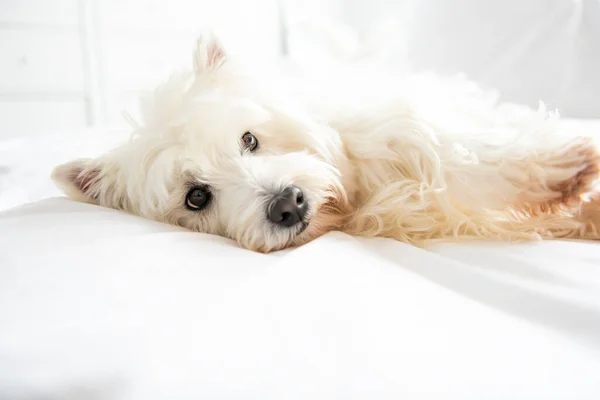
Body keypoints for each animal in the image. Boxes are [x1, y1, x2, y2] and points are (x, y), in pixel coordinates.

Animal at [52, 32, 600, 252]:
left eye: (249, 139)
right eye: (196, 197)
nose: (288, 204)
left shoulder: (391, 131)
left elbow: (451, 151)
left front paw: (555, 170)